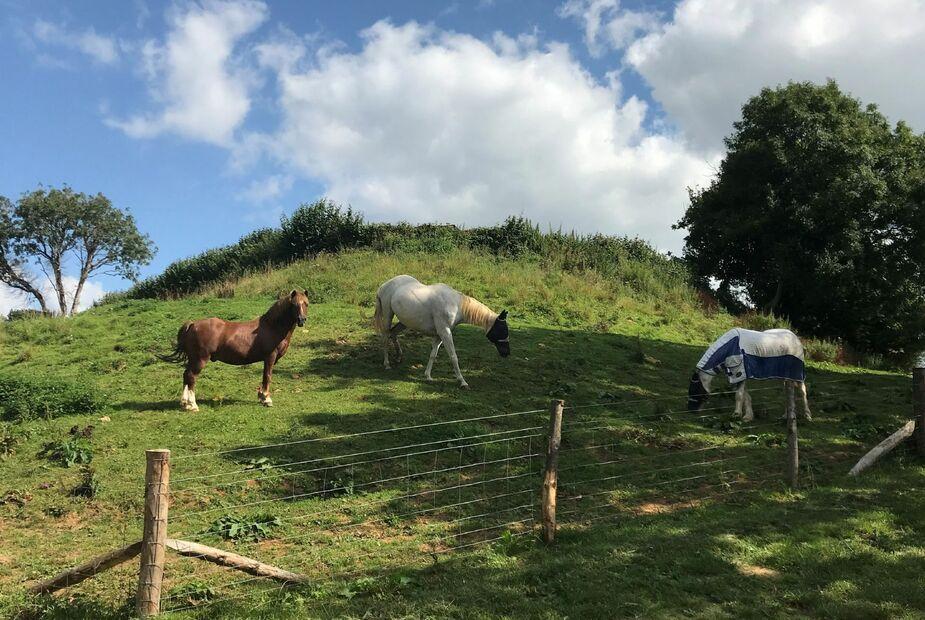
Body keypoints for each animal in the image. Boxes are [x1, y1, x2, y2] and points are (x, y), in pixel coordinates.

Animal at [157, 290, 309, 411]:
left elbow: (264, 377)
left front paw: (261, 397)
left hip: (193, 359)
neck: (272, 326)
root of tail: (193, 324)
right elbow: (267, 377)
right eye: (294, 304)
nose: (301, 320)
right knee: (191, 377)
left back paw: (185, 403)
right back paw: (193, 405)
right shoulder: (270, 357)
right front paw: (266, 399)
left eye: (306, 304)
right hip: (199, 360)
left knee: (185, 375)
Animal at [373, 275, 509, 388]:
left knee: (393, 333)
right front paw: (462, 382)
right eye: (502, 329)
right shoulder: (445, 332)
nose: (506, 353)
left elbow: (433, 354)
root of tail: (384, 286)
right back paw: (387, 364)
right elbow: (453, 356)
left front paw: (428, 376)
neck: (456, 305)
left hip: (404, 322)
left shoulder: (440, 335)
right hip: (388, 315)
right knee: (385, 337)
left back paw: (399, 357)